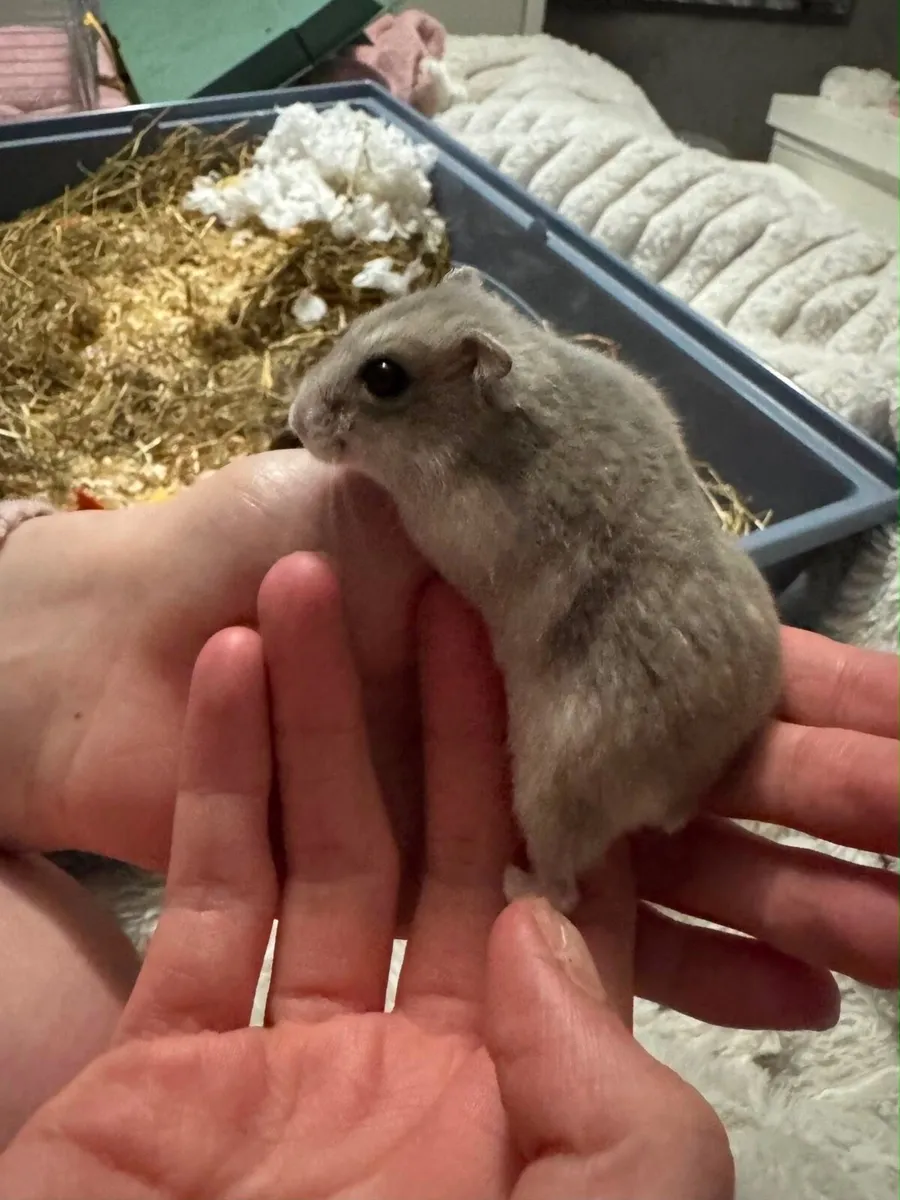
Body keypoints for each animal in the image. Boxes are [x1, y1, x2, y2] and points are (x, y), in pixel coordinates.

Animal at [287, 266, 781, 913]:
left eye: (384, 377)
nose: (295, 421)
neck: (476, 428)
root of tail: (684, 786)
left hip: (550, 791)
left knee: (564, 891)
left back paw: (515, 885)